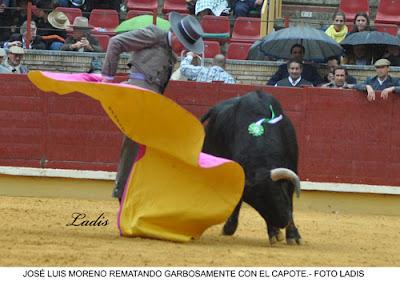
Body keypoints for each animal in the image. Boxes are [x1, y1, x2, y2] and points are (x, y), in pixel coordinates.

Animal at [202, 90, 302, 245]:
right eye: (257, 204)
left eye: (277, 193)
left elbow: (290, 201)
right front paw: (274, 233)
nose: (281, 222)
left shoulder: (291, 170)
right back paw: (229, 228)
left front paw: (292, 235)